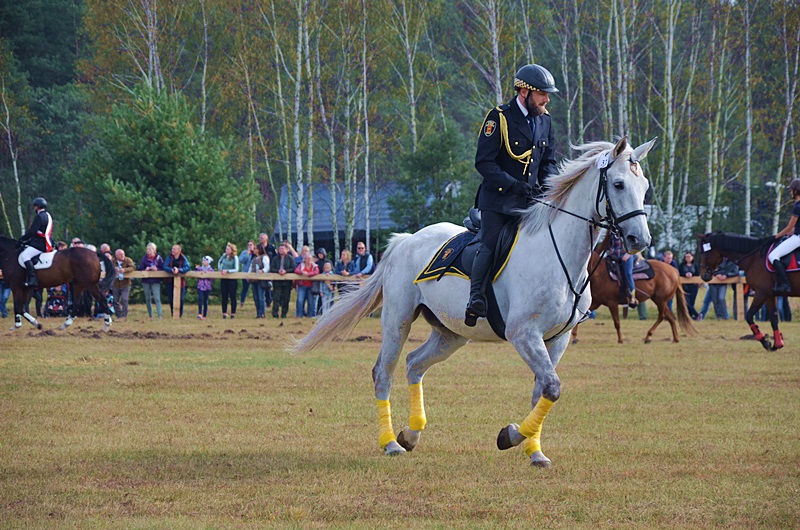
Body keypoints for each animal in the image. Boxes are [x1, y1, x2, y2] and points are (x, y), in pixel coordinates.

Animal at [293, 137, 655, 467]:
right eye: (619, 184)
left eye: (645, 187)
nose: (639, 240)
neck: (559, 255)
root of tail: (405, 241)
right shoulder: (523, 334)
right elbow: (552, 387)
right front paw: (510, 436)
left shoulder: (558, 338)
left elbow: (542, 390)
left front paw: (533, 450)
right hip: (398, 319)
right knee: (384, 372)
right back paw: (391, 443)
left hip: (450, 334)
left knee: (414, 363)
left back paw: (411, 434)